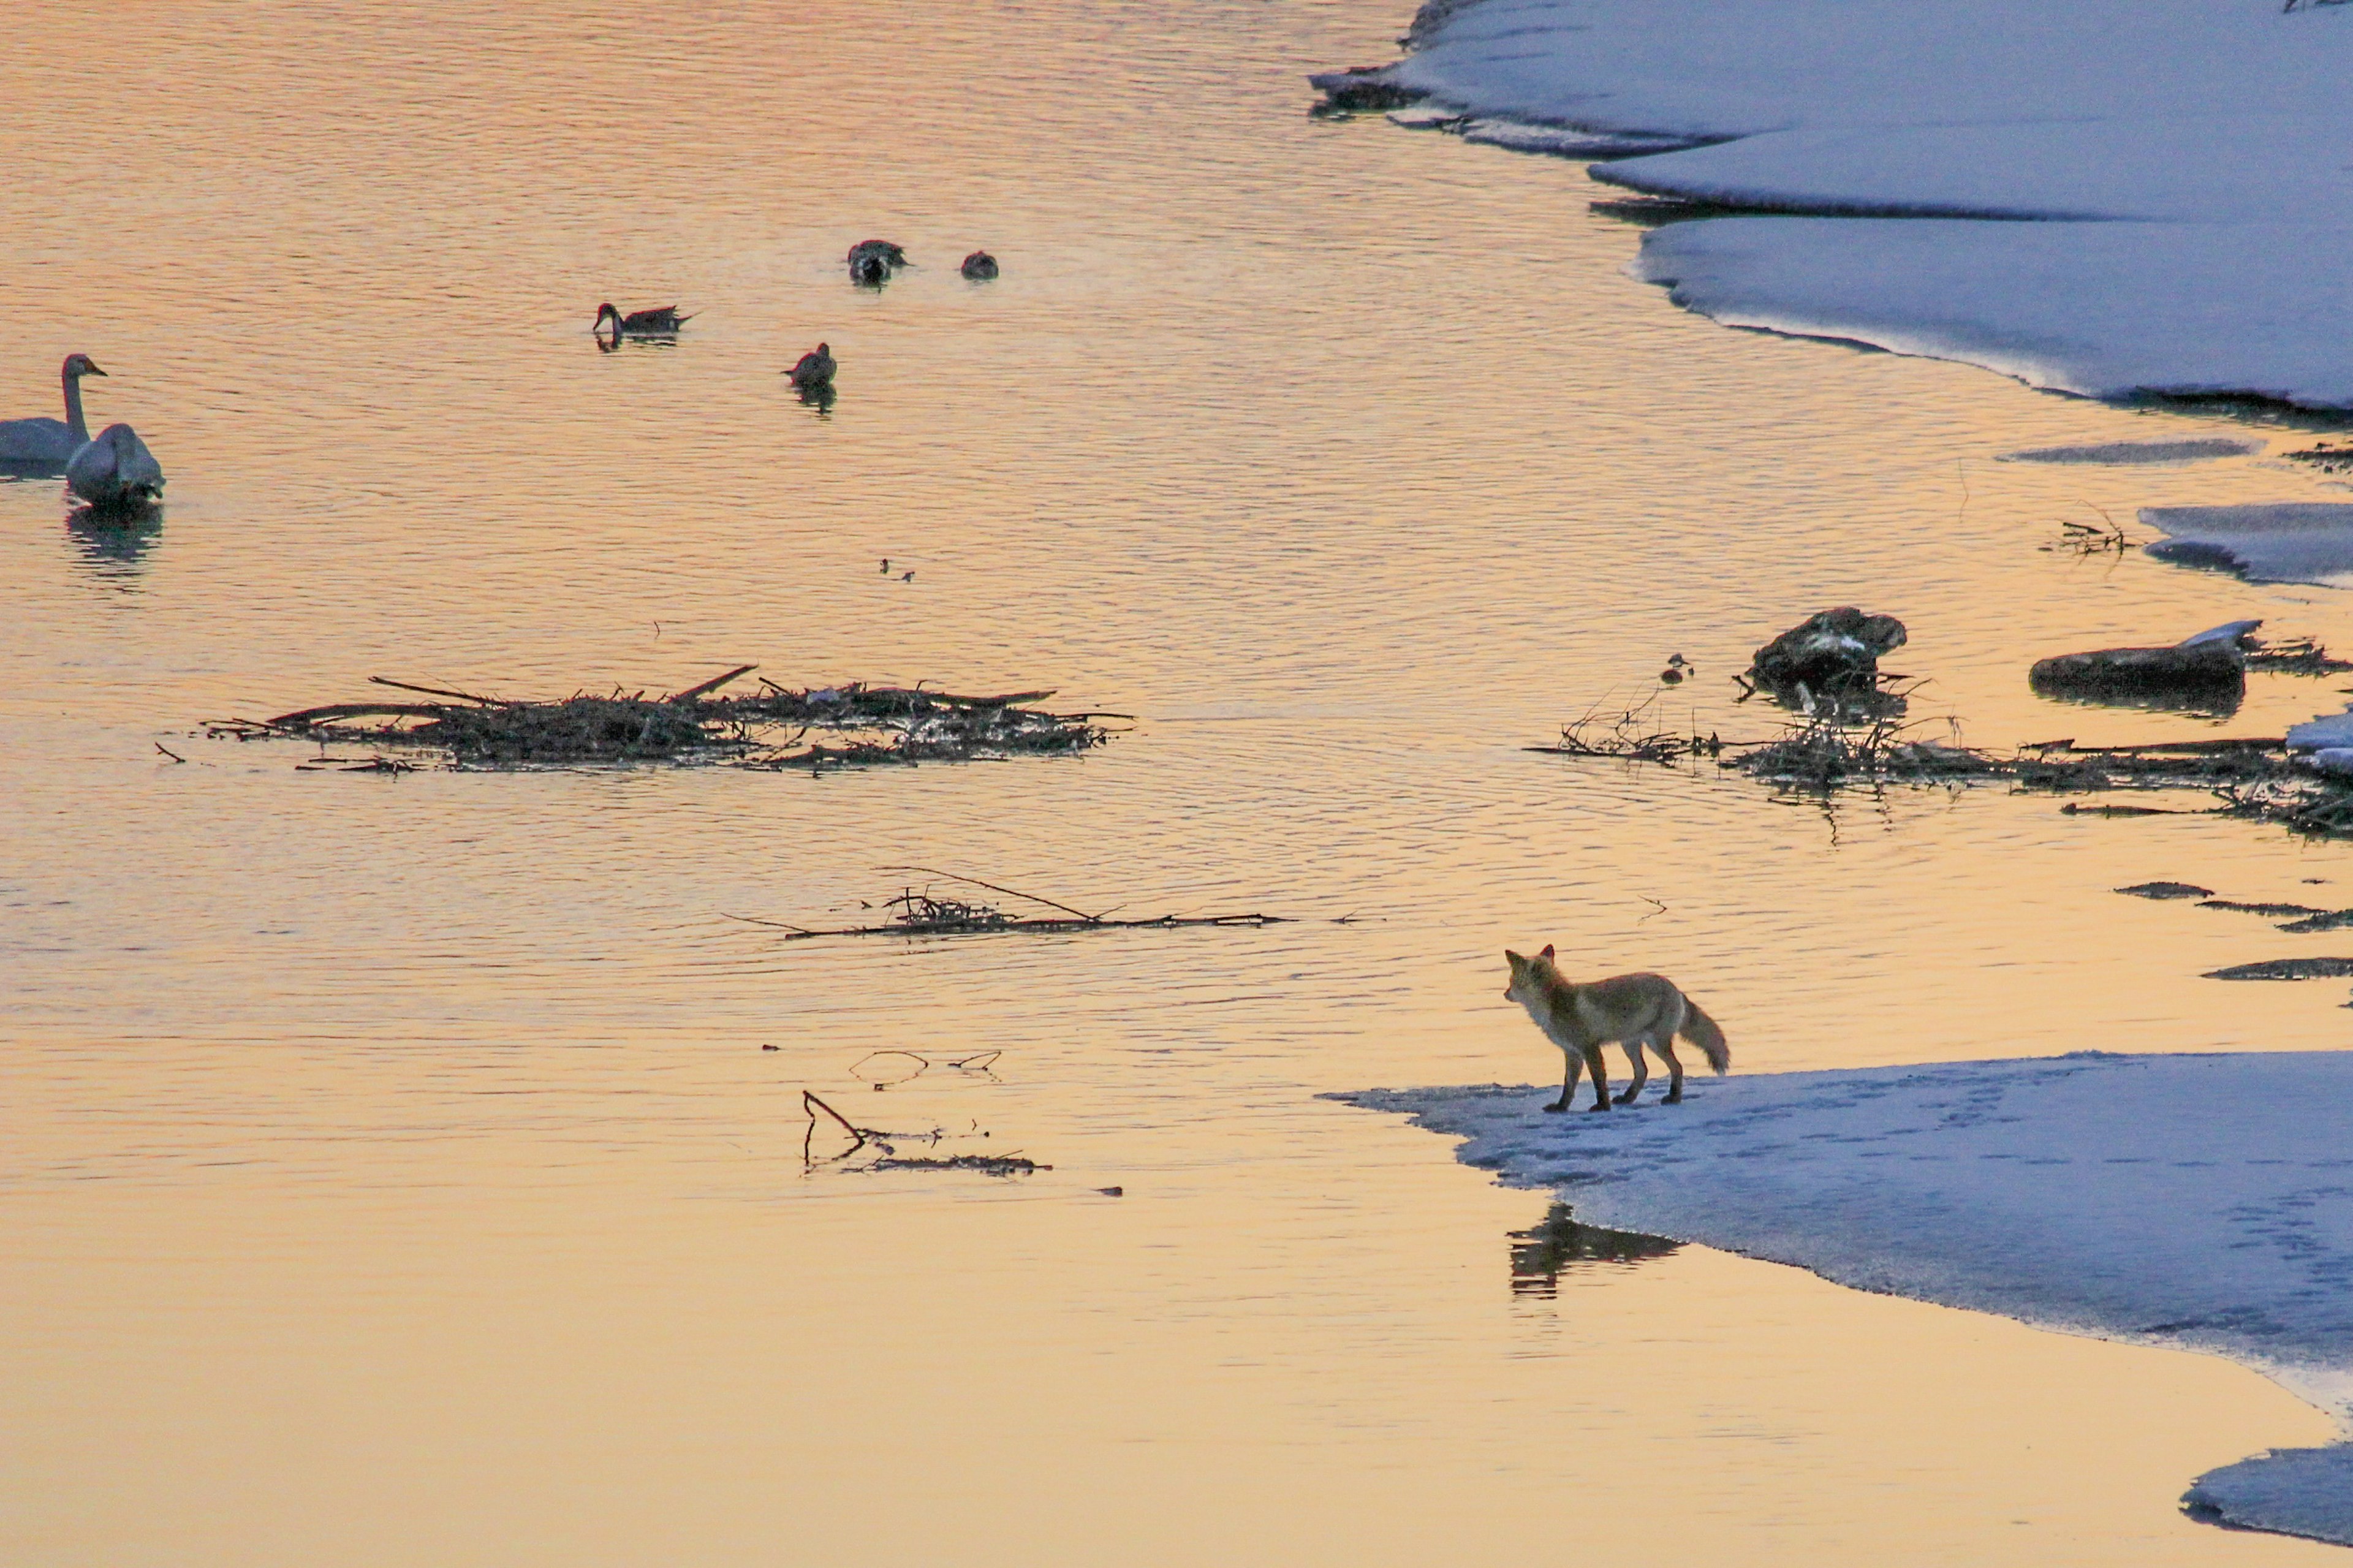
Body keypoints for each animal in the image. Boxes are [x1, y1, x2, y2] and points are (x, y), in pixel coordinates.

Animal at [1506, 941, 1732, 1111]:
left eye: (1511, 981)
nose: (1505, 994)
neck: (1555, 1003)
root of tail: (1675, 988)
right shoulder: (1572, 1053)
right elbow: (1568, 1086)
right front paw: (1561, 1108)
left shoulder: (1589, 1049)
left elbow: (1599, 1082)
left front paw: (1602, 1107)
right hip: (1630, 1045)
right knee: (1643, 1071)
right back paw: (1627, 1098)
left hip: (1655, 1043)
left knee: (1677, 1067)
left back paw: (1674, 1098)